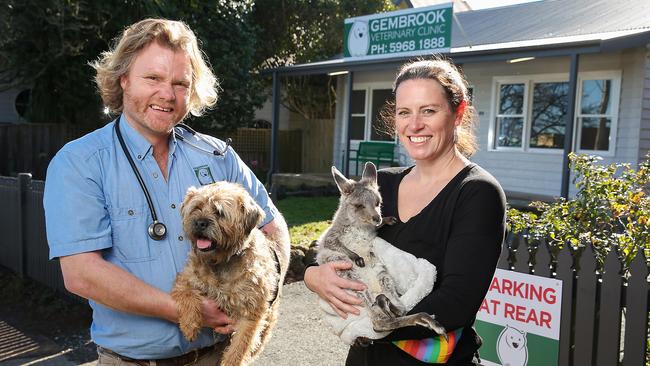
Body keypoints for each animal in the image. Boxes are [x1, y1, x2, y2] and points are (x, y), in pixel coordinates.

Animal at [171, 183, 288, 366]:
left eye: (219, 212)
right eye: (196, 208)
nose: (200, 222)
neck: (221, 262)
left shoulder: (251, 316)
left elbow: (238, 349)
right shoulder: (184, 280)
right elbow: (188, 296)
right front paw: (190, 325)